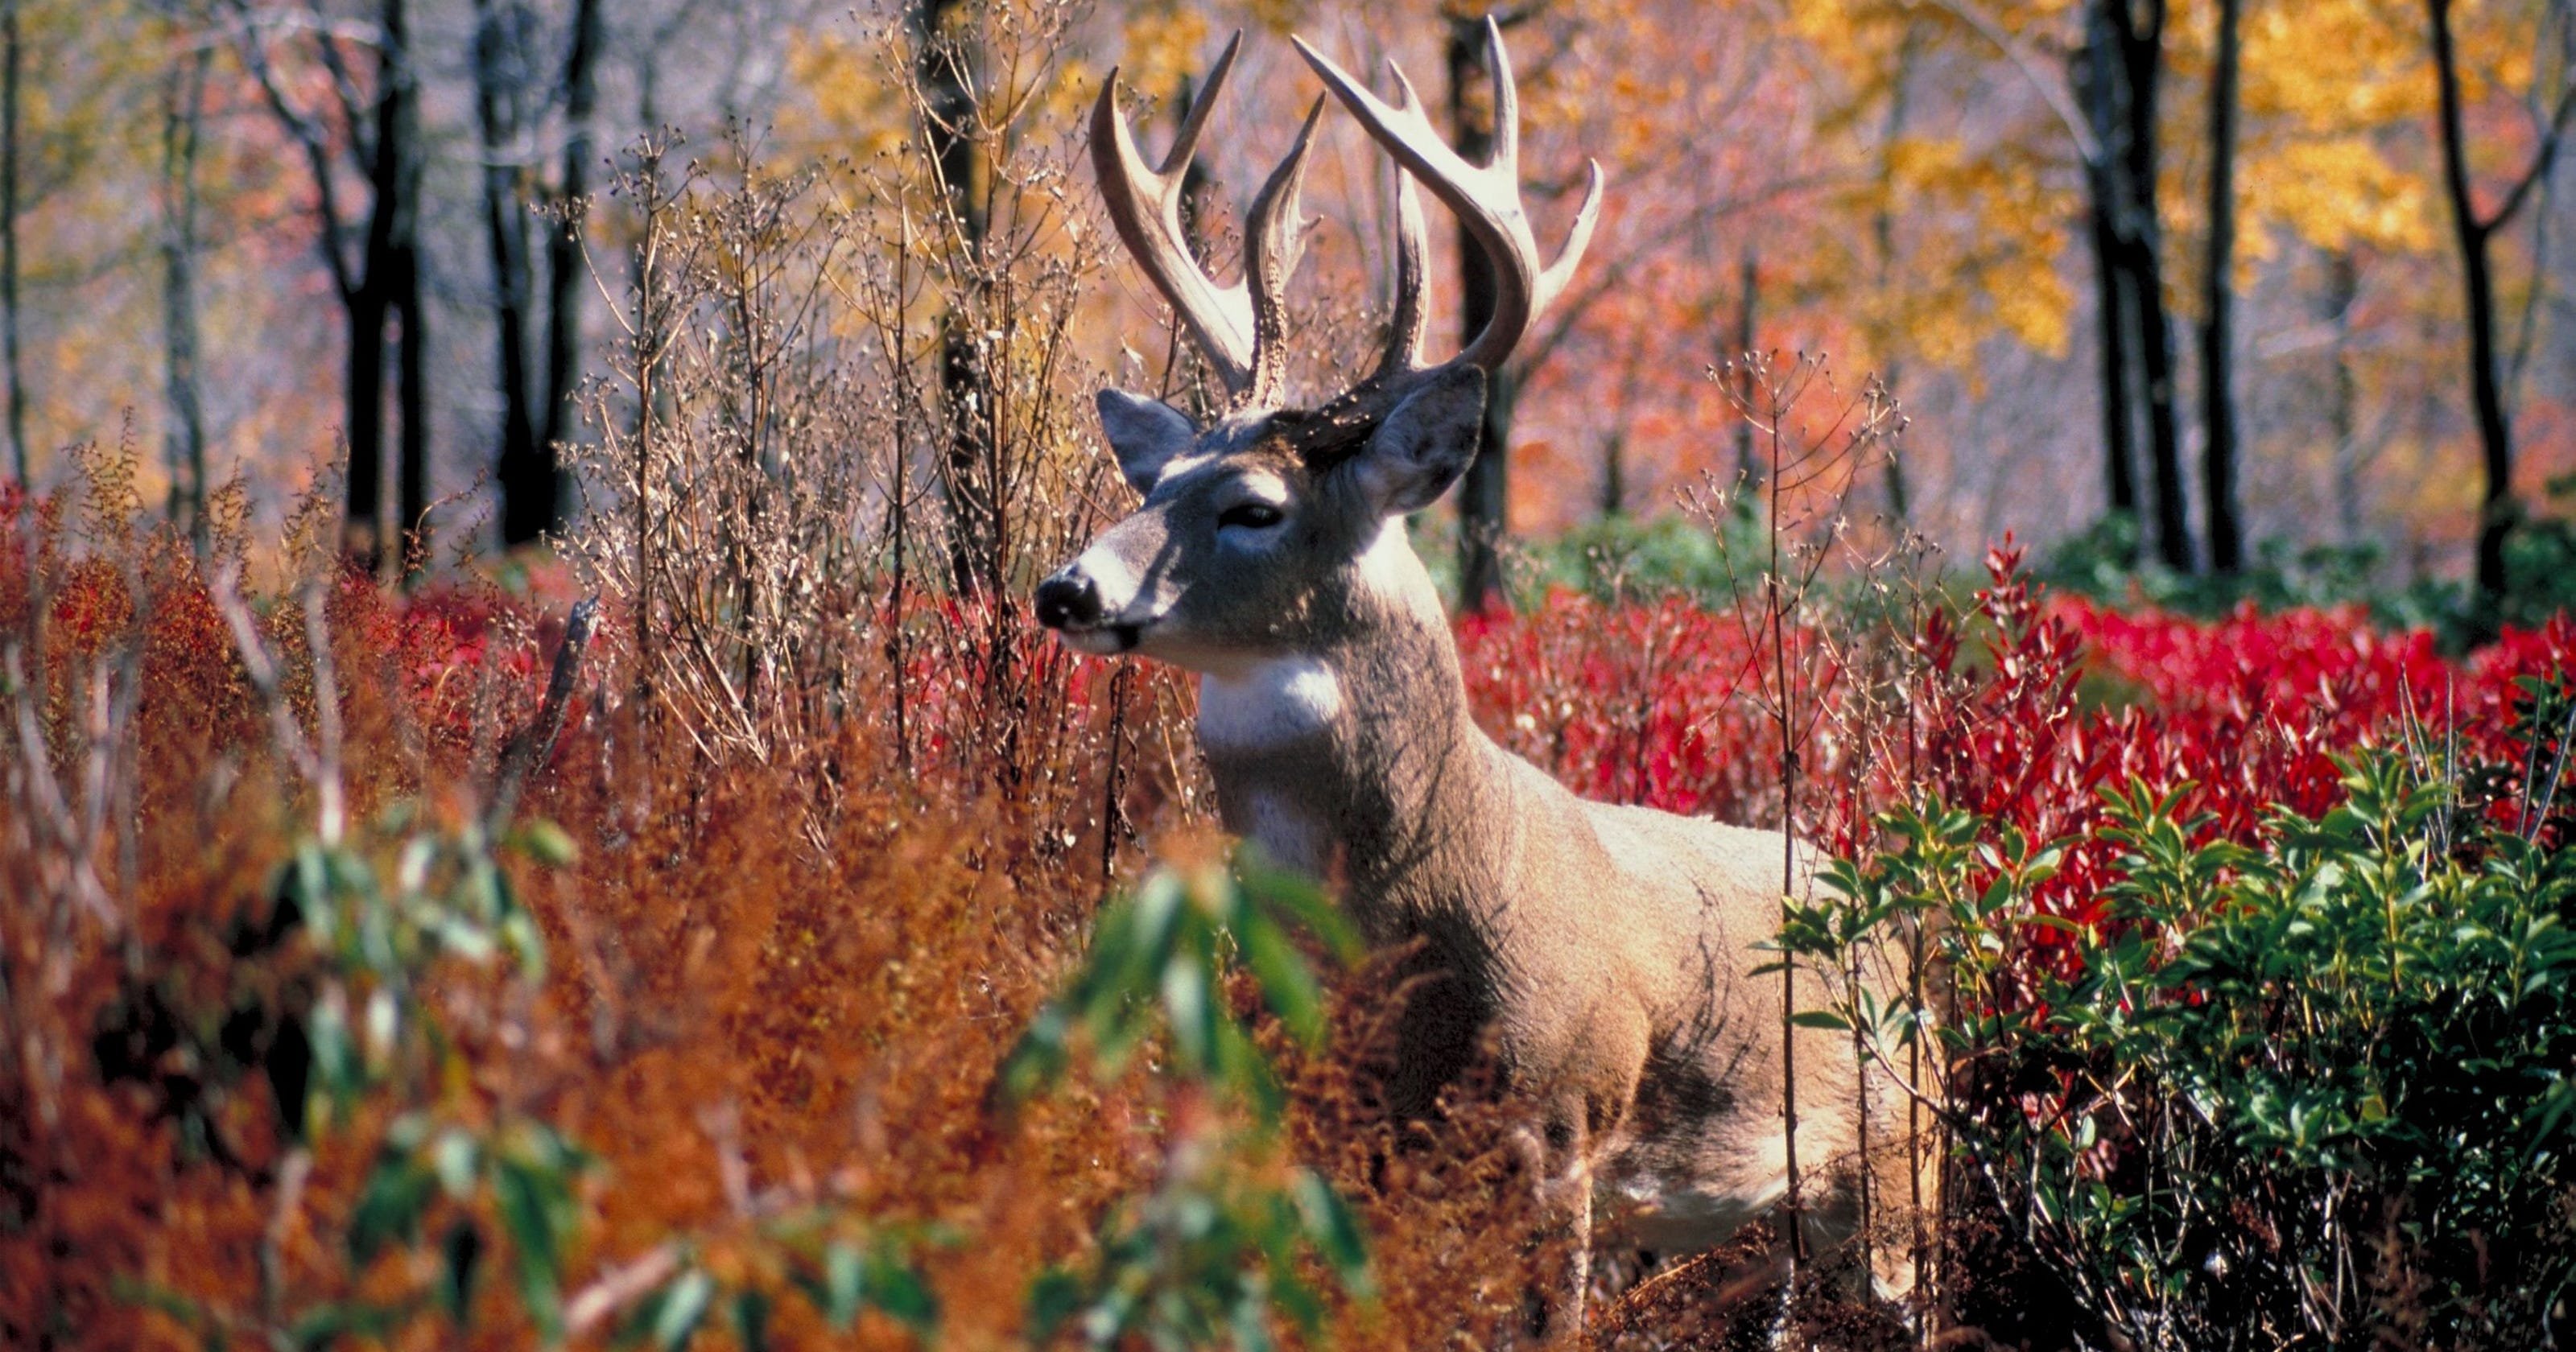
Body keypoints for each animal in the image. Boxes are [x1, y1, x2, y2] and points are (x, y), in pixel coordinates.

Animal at [1040, 23, 1916, 1339]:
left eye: (1253, 507)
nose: (1066, 590)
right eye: (1157, 484)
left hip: (1902, 1146)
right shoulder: (1330, 1133)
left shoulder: (1558, 1120)